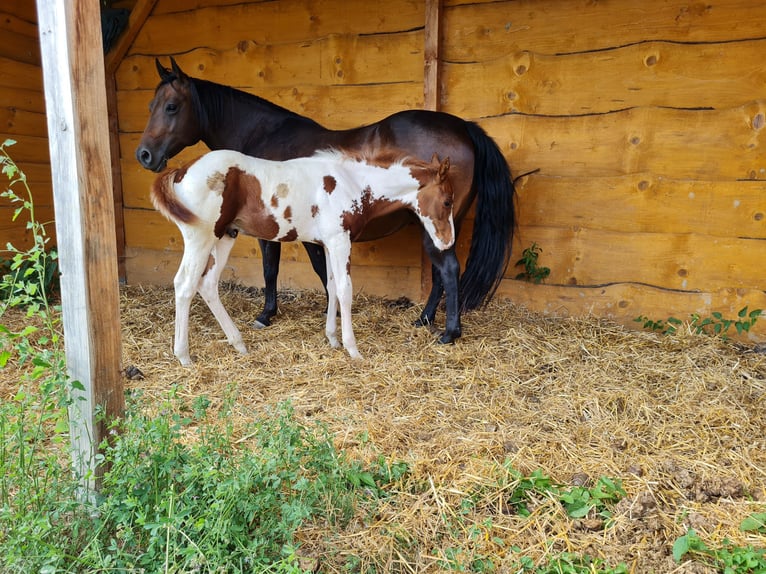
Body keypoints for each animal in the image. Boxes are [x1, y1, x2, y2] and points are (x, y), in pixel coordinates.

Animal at [151, 148, 454, 365]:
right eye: (447, 201)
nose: (447, 241)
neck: (353, 184)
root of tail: (182, 171)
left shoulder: (329, 243)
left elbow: (331, 287)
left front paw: (332, 339)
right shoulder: (340, 241)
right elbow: (345, 290)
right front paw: (352, 349)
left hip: (226, 236)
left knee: (208, 284)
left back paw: (239, 344)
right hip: (201, 238)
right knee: (185, 285)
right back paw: (184, 356)